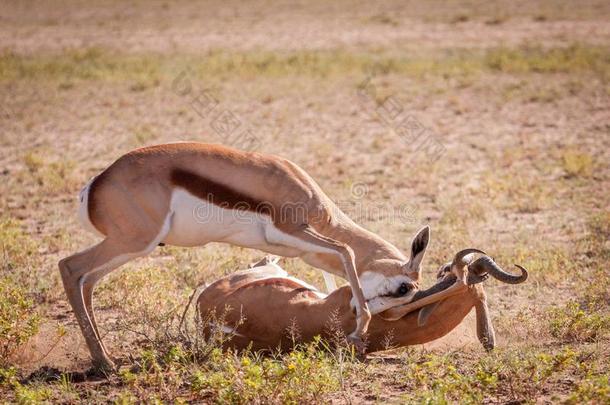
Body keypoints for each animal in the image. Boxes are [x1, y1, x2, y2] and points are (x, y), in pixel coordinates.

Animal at [59, 142, 456, 370]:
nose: (359, 315)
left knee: (86, 280)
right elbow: (346, 252)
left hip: (129, 245)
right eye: (404, 288)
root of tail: (95, 185)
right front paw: (359, 329)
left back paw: (103, 359)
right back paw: (105, 364)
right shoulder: (294, 230)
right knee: (70, 267)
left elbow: (335, 269)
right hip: (134, 241)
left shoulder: (300, 250)